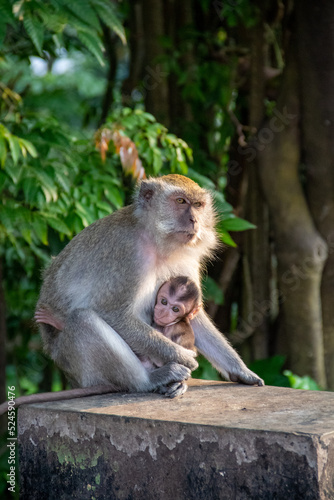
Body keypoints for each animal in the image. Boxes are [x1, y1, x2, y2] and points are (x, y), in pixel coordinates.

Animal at [34, 175, 264, 398]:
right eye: (181, 201)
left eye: (198, 205)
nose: (195, 220)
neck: (156, 241)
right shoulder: (126, 252)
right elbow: (113, 314)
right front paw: (183, 357)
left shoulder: (187, 259)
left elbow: (193, 315)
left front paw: (240, 369)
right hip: (77, 366)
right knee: (82, 320)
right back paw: (150, 380)